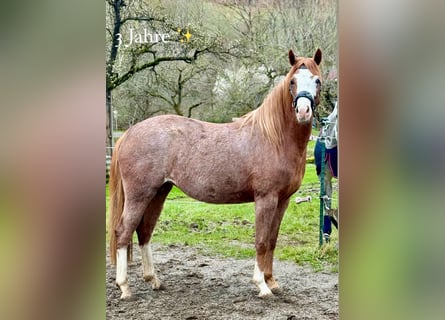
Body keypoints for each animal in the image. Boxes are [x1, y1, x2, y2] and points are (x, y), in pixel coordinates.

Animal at [108, 48, 322, 300]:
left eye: (317, 81)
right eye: (292, 82)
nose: (303, 111)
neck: (274, 138)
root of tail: (128, 133)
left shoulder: (283, 200)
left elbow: (271, 240)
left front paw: (272, 282)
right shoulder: (266, 198)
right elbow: (261, 241)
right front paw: (261, 285)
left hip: (159, 192)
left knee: (144, 232)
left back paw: (154, 280)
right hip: (139, 194)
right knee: (123, 232)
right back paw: (124, 287)